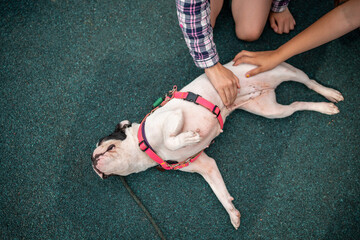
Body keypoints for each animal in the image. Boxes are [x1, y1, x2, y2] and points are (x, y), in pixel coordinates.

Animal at [90, 62, 344, 229]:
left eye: (106, 146)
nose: (93, 161)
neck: (146, 151)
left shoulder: (174, 116)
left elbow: (171, 138)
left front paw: (188, 137)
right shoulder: (206, 166)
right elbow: (220, 193)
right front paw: (233, 214)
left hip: (282, 70)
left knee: (309, 81)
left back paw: (329, 93)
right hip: (270, 110)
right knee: (297, 104)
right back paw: (324, 107)